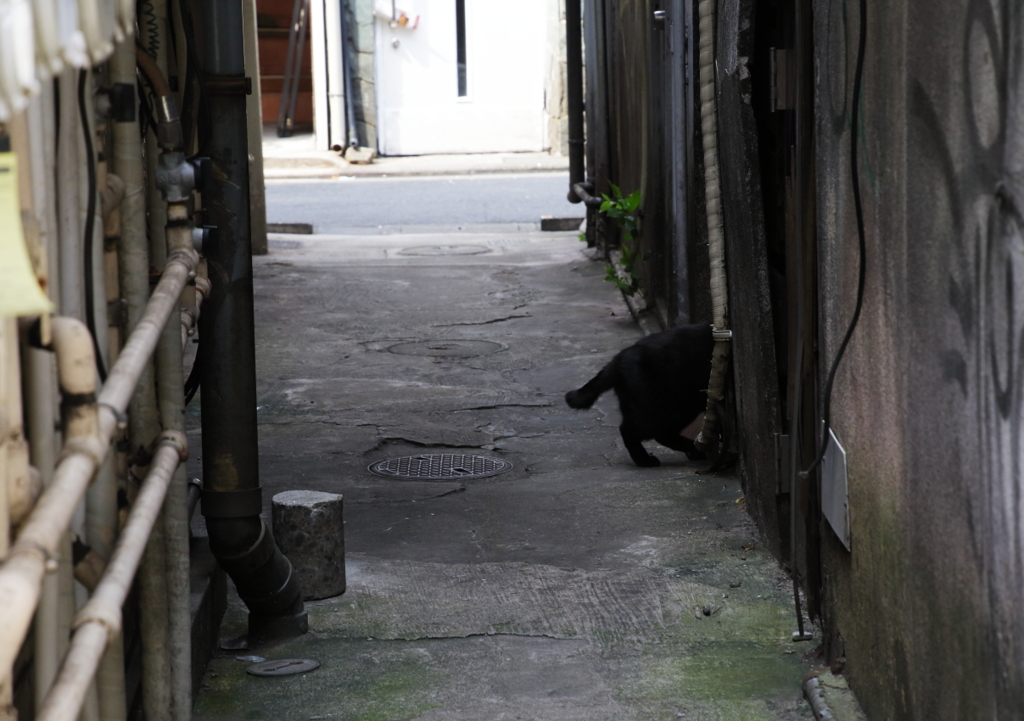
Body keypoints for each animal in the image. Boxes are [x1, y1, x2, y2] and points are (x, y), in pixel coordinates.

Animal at [565, 321, 716, 467]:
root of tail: (618, 358)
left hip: (684, 406)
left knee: (663, 434)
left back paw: (696, 451)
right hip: (660, 408)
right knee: (630, 430)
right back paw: (645, 460)